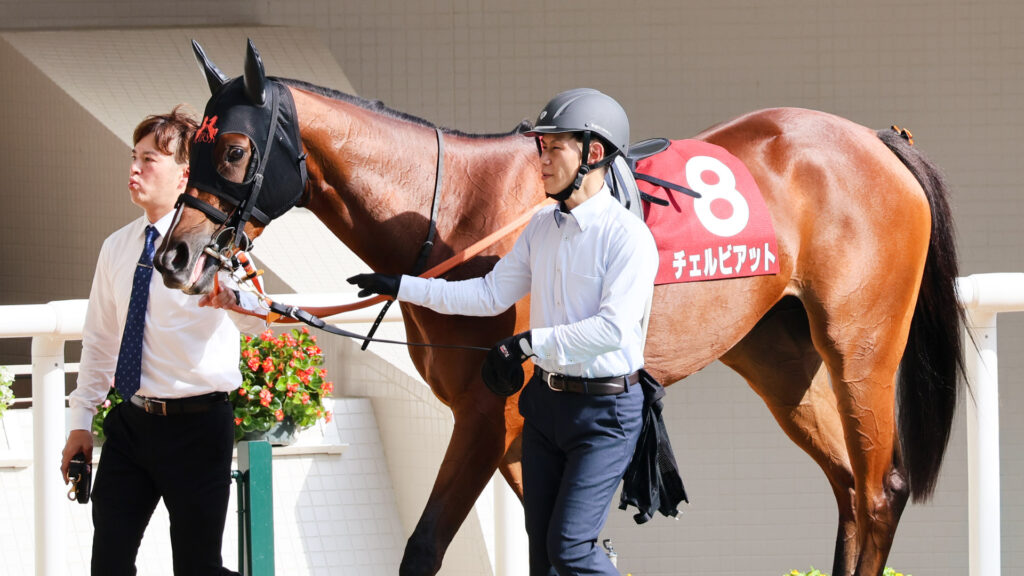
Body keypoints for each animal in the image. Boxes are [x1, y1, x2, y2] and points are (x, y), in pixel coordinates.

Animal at [155, 41, 964, 576]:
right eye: (192, 148)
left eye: (233, 149)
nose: (176, 257)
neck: (455, 210)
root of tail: (878, 141)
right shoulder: (523, 431)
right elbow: (550, 543)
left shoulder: (490, 416)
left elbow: (425, 547)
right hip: (779, 358)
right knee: (848, 491)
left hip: (860, 347)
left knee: (879, 491)